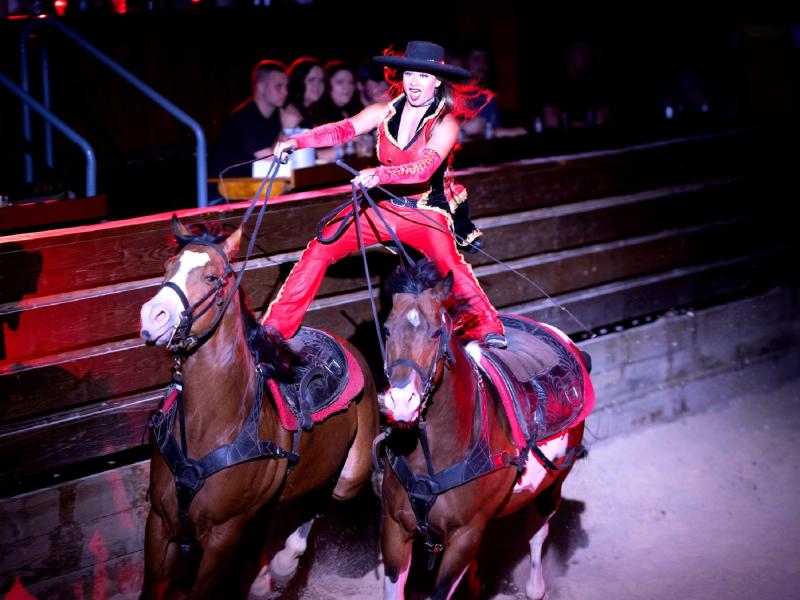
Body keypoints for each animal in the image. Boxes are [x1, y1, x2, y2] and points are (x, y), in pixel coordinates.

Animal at [139, 218, 380, 596]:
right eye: (167, 267)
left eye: (212, 278)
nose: (153, 317)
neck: (209, 425)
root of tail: (347, 344)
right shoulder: (160, 525)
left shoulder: (222, 539)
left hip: (349, 479)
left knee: (321, 499)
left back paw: (281, 568)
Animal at [378, 260, 592, 596]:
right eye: (386, 330)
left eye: (436, 332)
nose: (401, 401)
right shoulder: (394, 529)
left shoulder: (465, 537)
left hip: (551, 486)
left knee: (537, 534)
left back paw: (535, 587)